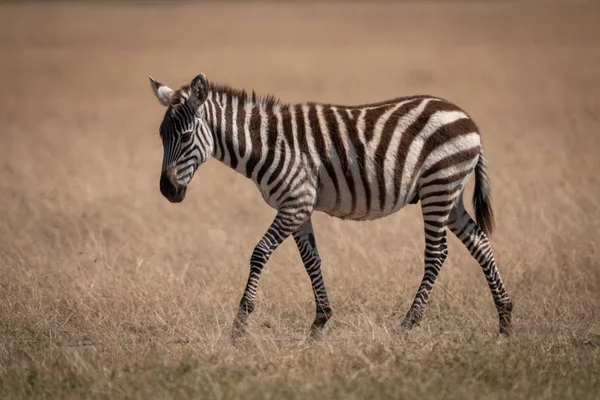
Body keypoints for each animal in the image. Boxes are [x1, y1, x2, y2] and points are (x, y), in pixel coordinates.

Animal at [148, 72, 512, 338]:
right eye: (162, 136)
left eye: (184, 136)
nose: (167, 191)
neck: (266, 144)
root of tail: (467, 119)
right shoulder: (298, 207)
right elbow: (312, 261)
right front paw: (320, 321)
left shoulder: (295, 201)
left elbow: (259, 252)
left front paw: (240, 323)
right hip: (450, 194)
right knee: (480, 243)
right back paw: (505, 321)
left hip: (440, 186)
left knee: (437, 254)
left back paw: (408, 324)